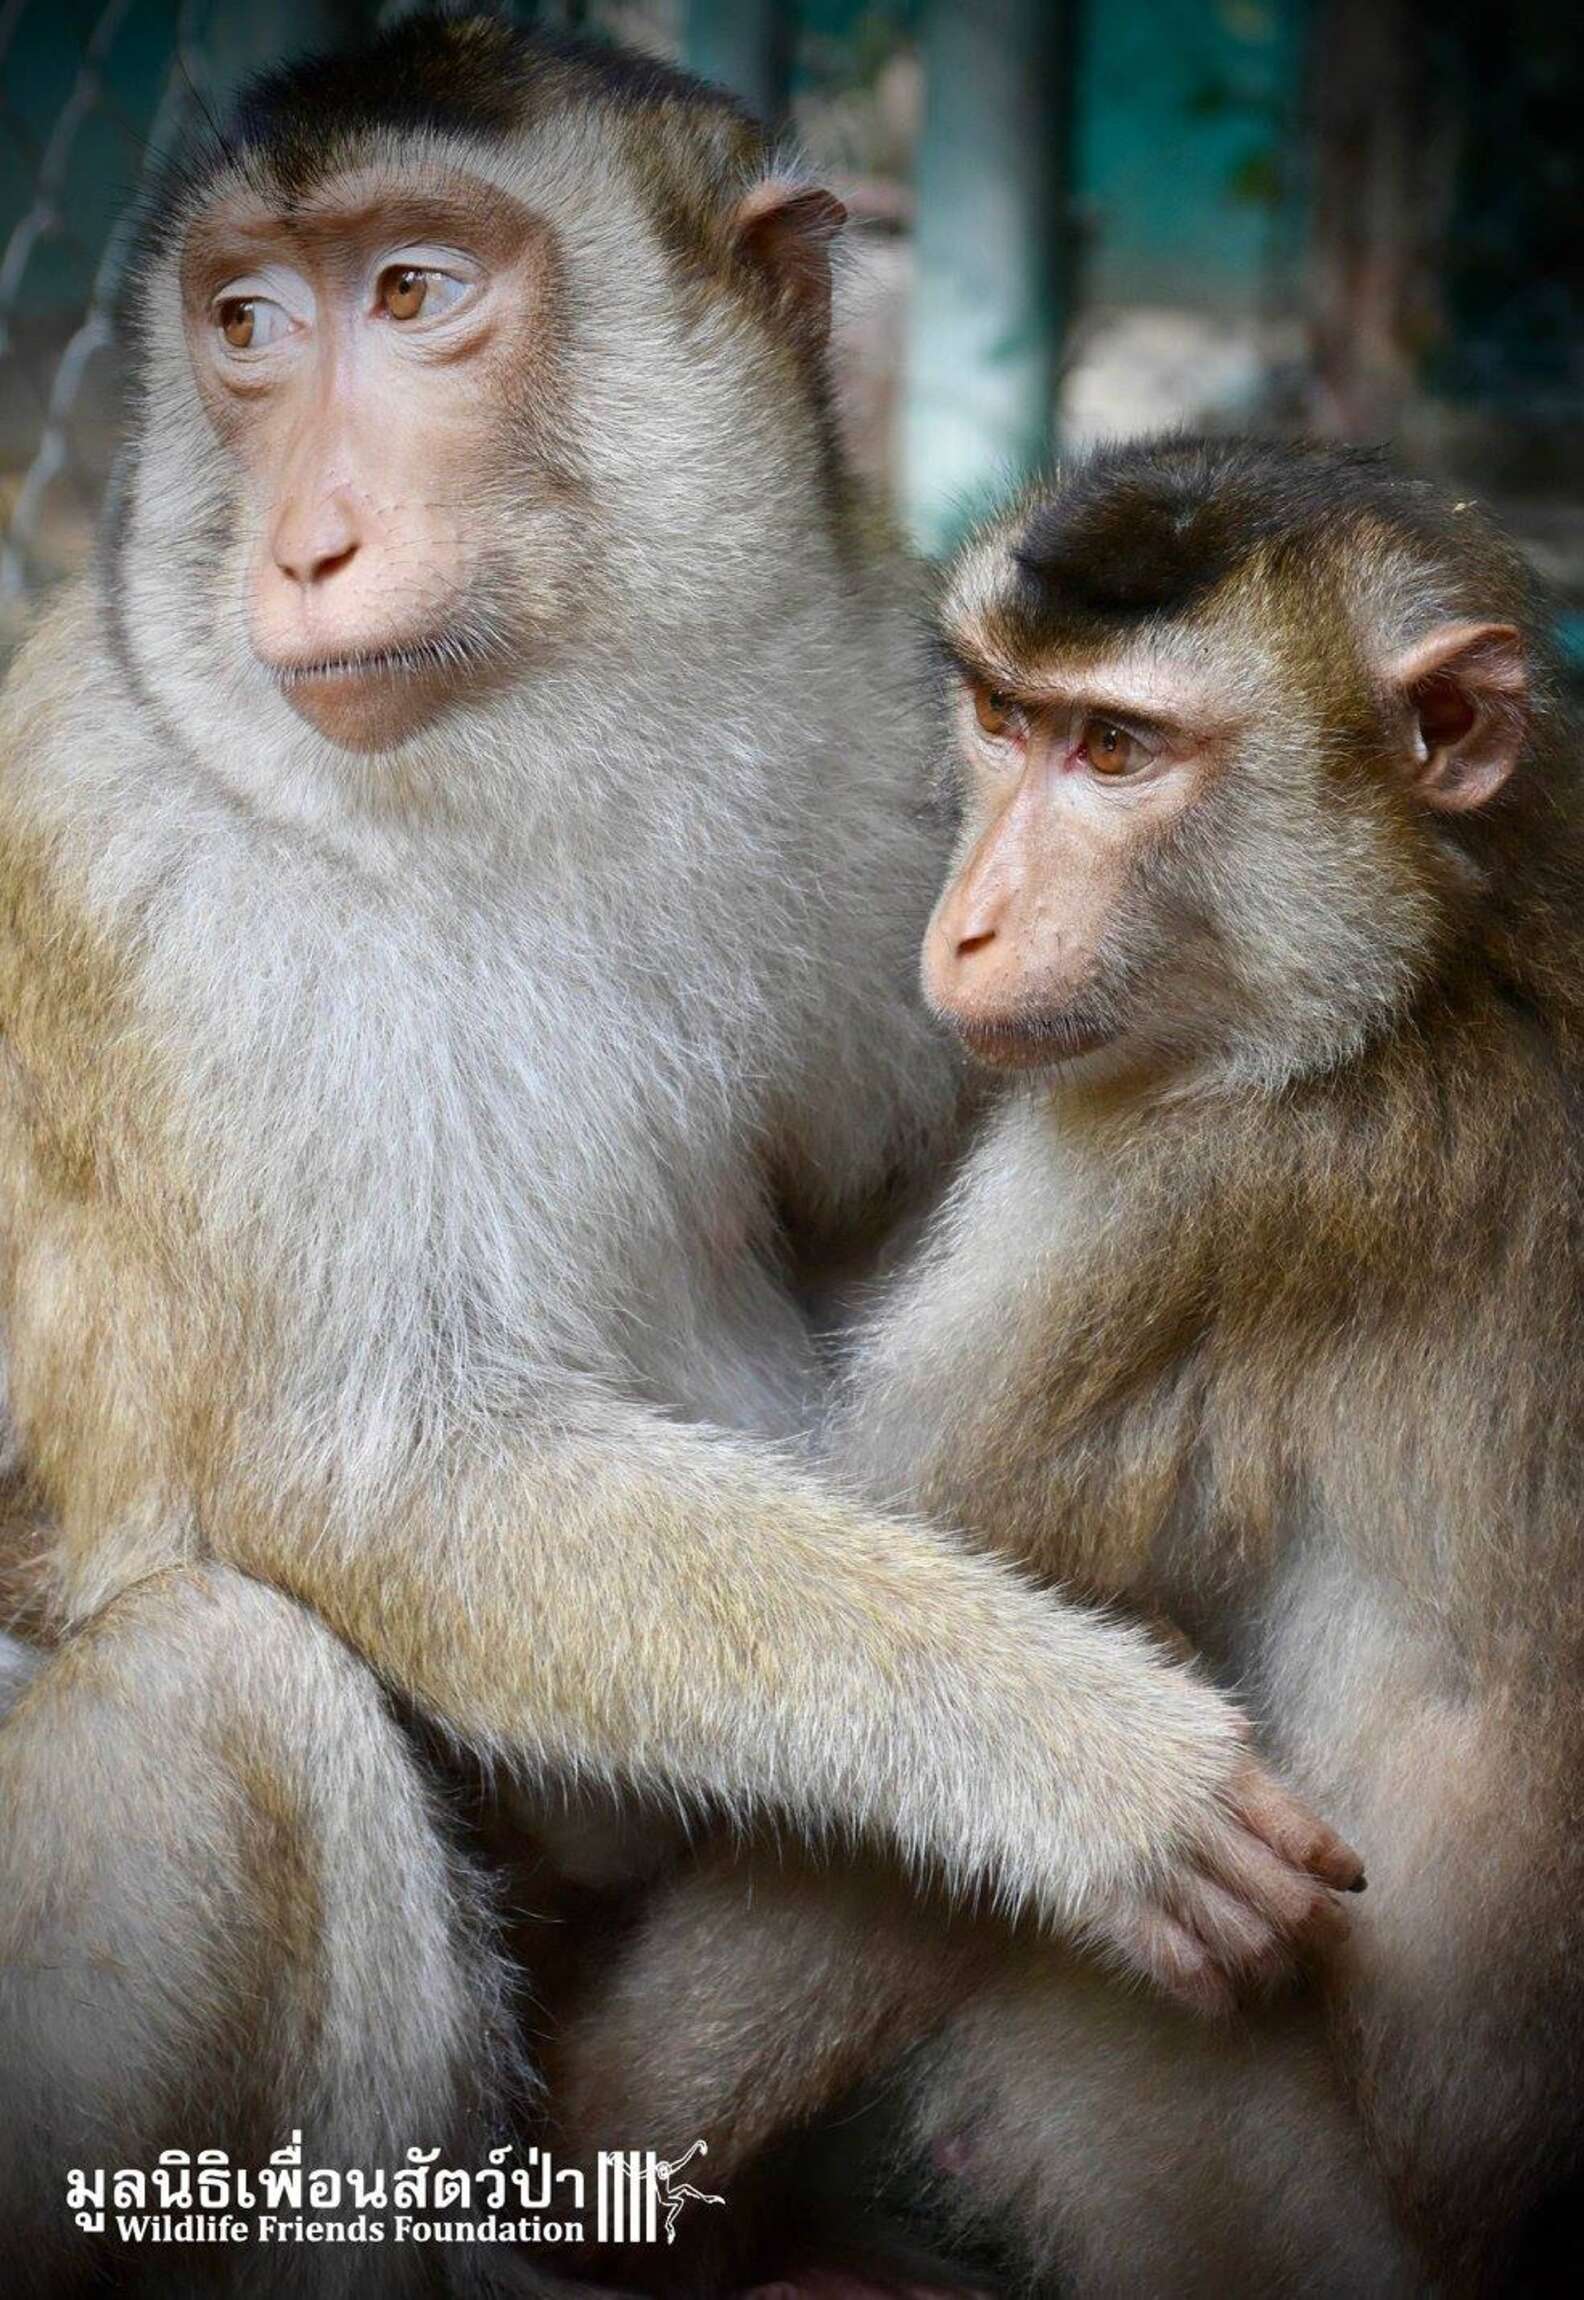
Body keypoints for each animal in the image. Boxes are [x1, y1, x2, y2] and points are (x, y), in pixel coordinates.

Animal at [0, 21, 1361, 2297]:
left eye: (413, 295)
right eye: (246, 327)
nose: (305, 547)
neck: (538, 761)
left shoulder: (879, 748)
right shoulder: (169, 889)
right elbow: (380, 1476)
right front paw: (1076, 1759)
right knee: (230, 1689)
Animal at [549, 437, 1584, 2297]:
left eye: (1116, 752)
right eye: (1002, 717)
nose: (966, 925)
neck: (1416, 972)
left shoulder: (1174, 1208)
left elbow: (869, 1827)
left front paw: (593, 2145)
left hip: (1269, 2216)